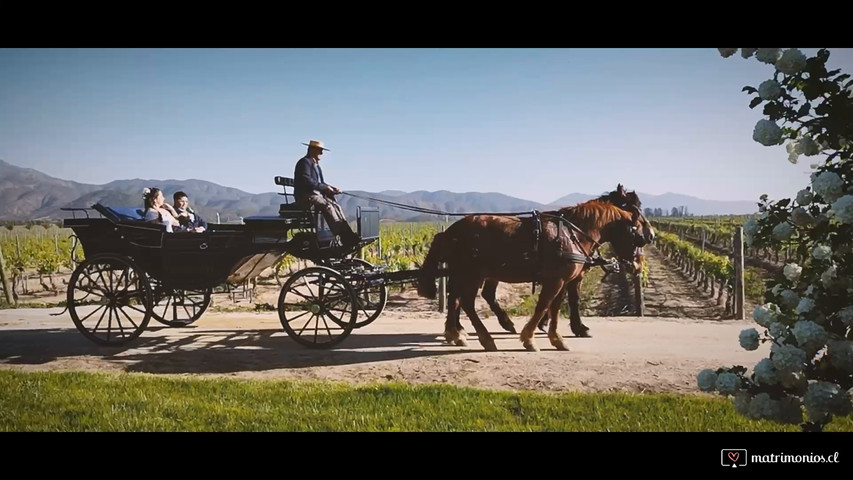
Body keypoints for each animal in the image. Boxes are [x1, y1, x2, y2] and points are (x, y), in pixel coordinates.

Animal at [418, 186, 652, 350]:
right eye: (636, 231)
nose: (650, 235)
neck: (572, 233)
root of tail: (449, 232)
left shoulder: (563, 280)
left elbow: (555, 307)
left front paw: (556, 338)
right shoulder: (557, 280)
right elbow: (545, 305)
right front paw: (530, 338)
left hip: (469, 274)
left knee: (458, 299)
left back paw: (457, 333)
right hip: (472, 274)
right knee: (465, 301)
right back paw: (483, 337)